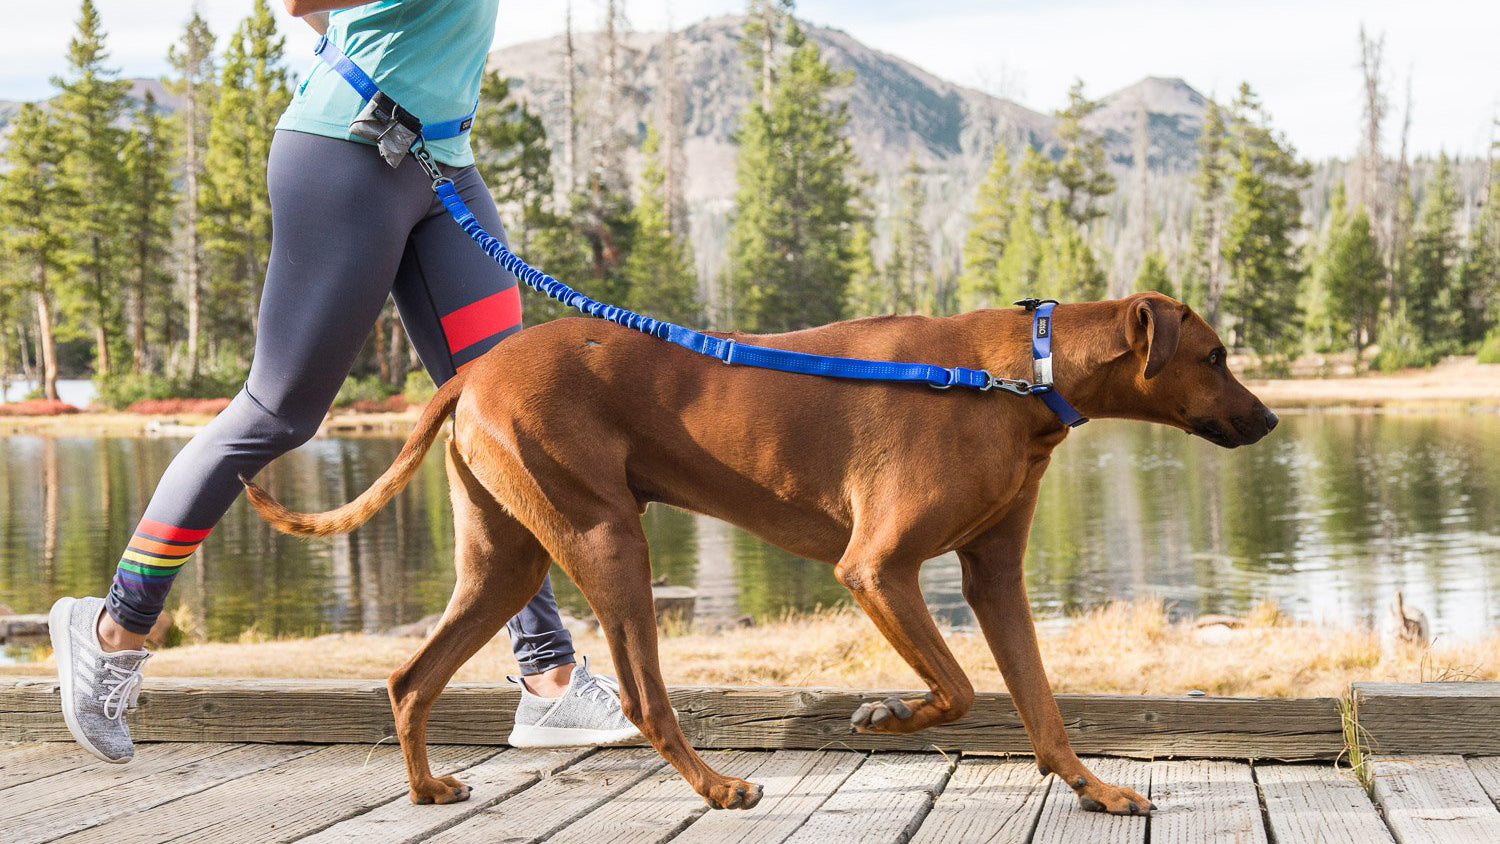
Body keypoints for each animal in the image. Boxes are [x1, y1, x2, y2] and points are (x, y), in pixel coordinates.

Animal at [246, 293, 1278, 815]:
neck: (1013, 374)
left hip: (506, 562)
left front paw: (1094, 789)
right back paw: (716, 785)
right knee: (645, 699)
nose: (1270, 421)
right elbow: (959, 690)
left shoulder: (994, 577)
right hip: (609, 540)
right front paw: (886, 714)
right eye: (1217, 356)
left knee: (409, 677)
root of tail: (471, 371)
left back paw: (424, 788)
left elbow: (1042, 708)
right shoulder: (875, 568)